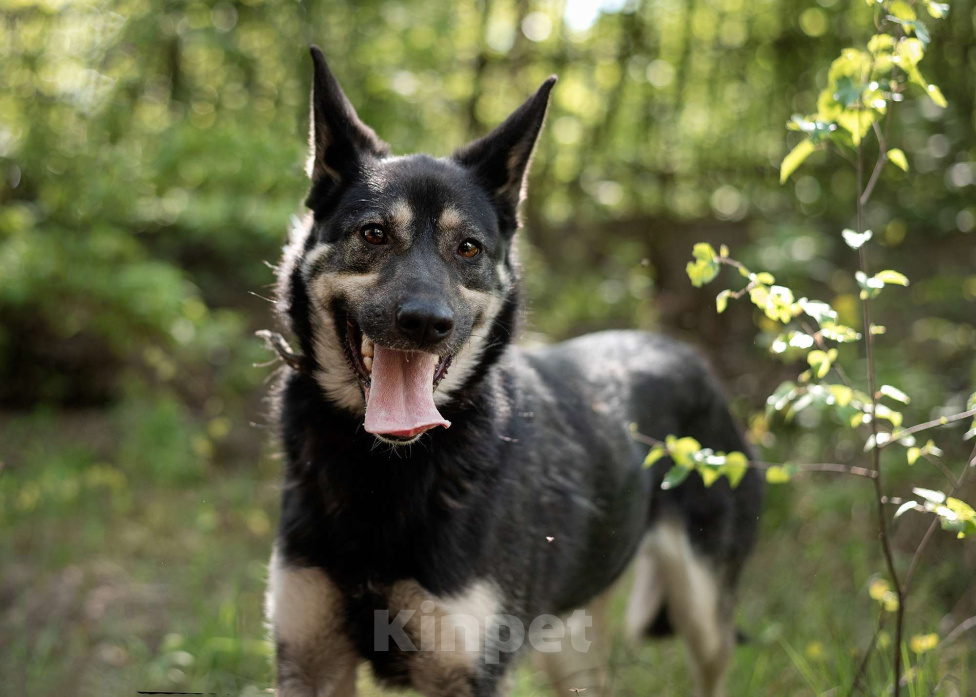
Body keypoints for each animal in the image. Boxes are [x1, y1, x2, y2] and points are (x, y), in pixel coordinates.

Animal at [264, 49, 764, 696]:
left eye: (469, 248)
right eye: (373, 234)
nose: (427, 323)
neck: (385, 471)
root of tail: (688, 356)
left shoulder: (464, 673)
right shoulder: (309, 661)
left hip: (701, 612)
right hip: (569, 641)